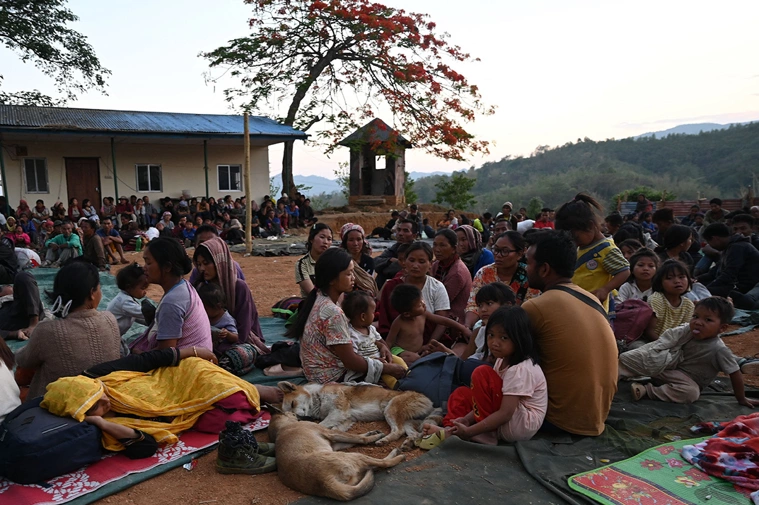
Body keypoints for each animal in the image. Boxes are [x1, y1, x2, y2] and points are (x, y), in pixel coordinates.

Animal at [268, 410, 406, 500]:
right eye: (294, 413)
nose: (311, 416)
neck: (282, 427)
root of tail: (324, 482)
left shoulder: (334, 444)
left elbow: (355, 438)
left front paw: (370, 433)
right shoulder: (332, 433)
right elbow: (358, 438)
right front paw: (374, 437)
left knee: (371, 468)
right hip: (354, 456)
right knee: (383, 463)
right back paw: (397, 454)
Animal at [280, 382, 436, 444]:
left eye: (293, 404)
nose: (299, 418)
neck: (318, 397)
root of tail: (429, 401)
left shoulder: (339, 410)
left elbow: (322, 425)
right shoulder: (346, 419)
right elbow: (336, 429)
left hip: (390, 408)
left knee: (399, 430)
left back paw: (384, 440)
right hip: (406, 420)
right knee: (412, 433)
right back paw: (408, 443)